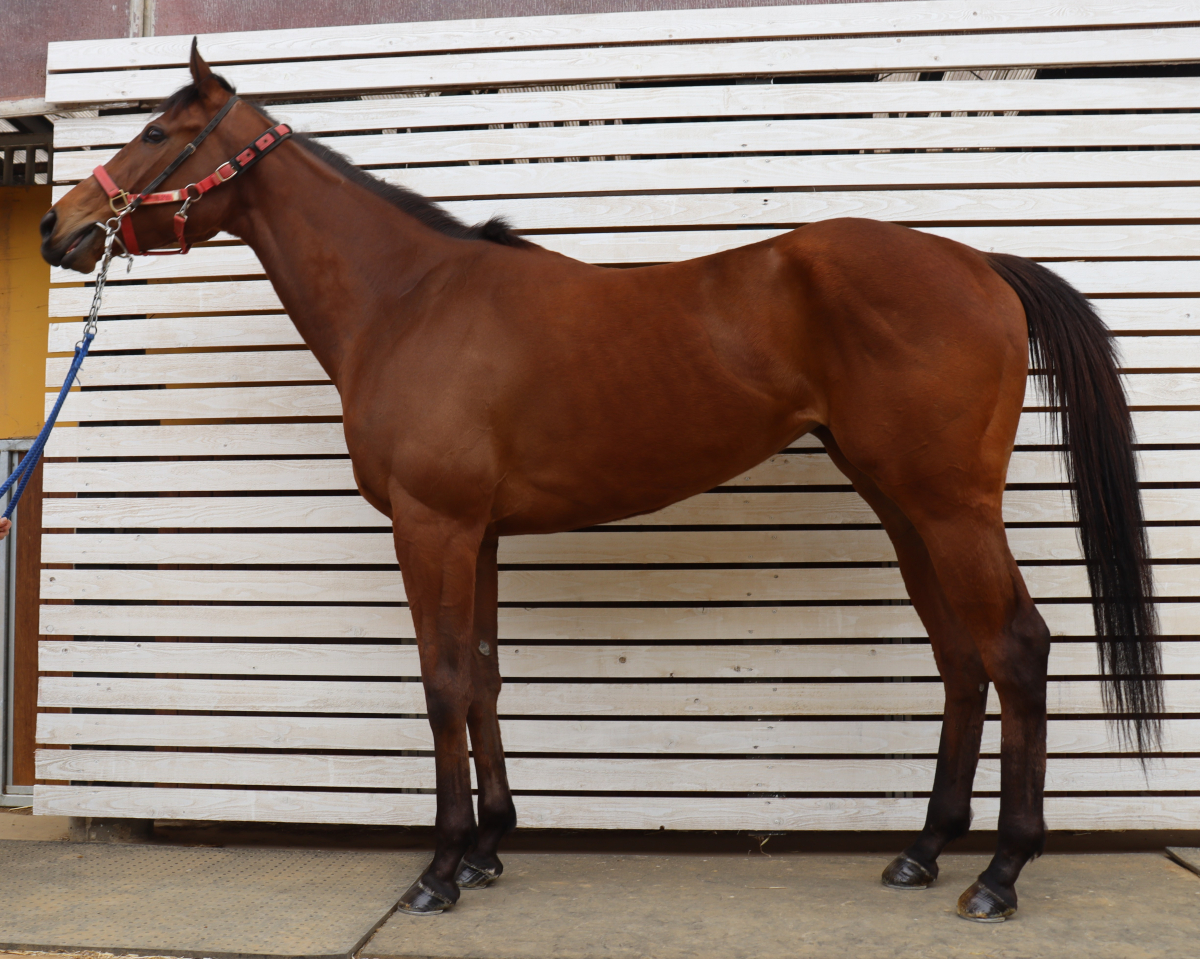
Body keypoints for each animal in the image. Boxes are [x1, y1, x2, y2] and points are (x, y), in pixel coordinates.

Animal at [42, 43, 1161, 922]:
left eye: (154, 129)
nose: (61, 227)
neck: (409, 299)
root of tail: (980, 264)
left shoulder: (432, 525)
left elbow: (441, 680)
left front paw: (439, 870)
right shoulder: (479, 532)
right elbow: (483, 675)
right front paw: (489, 847)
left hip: (948, 506)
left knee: (1016, 649)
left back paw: (1001, 872)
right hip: (904, 507)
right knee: (962, 658)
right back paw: (924, 851)